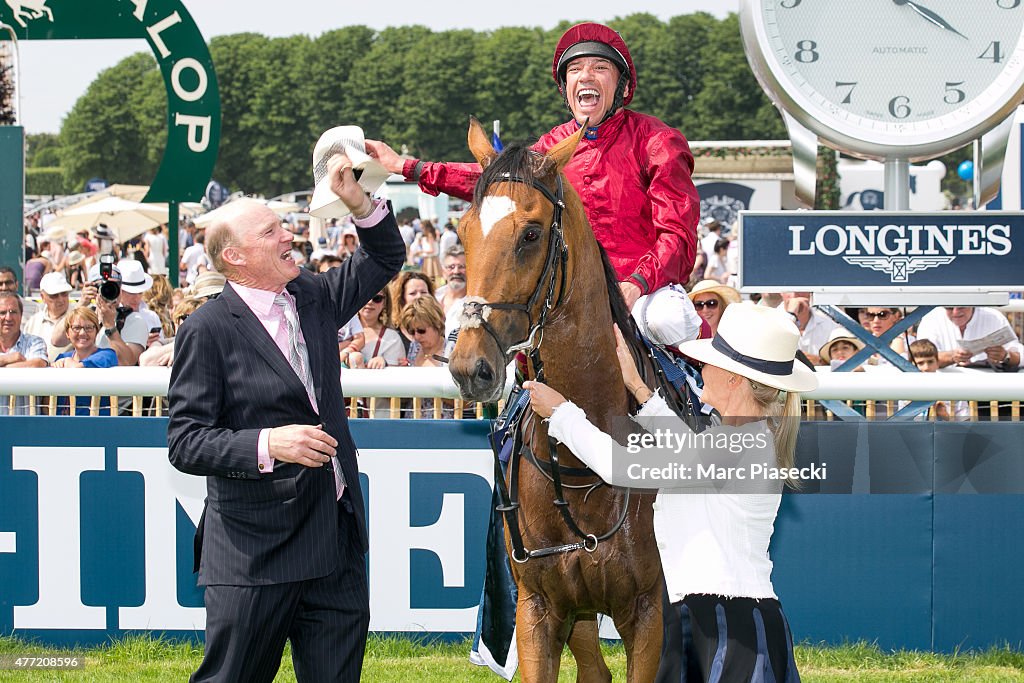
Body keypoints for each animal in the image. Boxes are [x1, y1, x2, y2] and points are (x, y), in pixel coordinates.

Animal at [448, 118, 671, 683]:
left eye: (530, 234)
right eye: (463, 232)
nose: (470, 367)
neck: (583, 464)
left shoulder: (647, 612)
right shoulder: (539, 609)